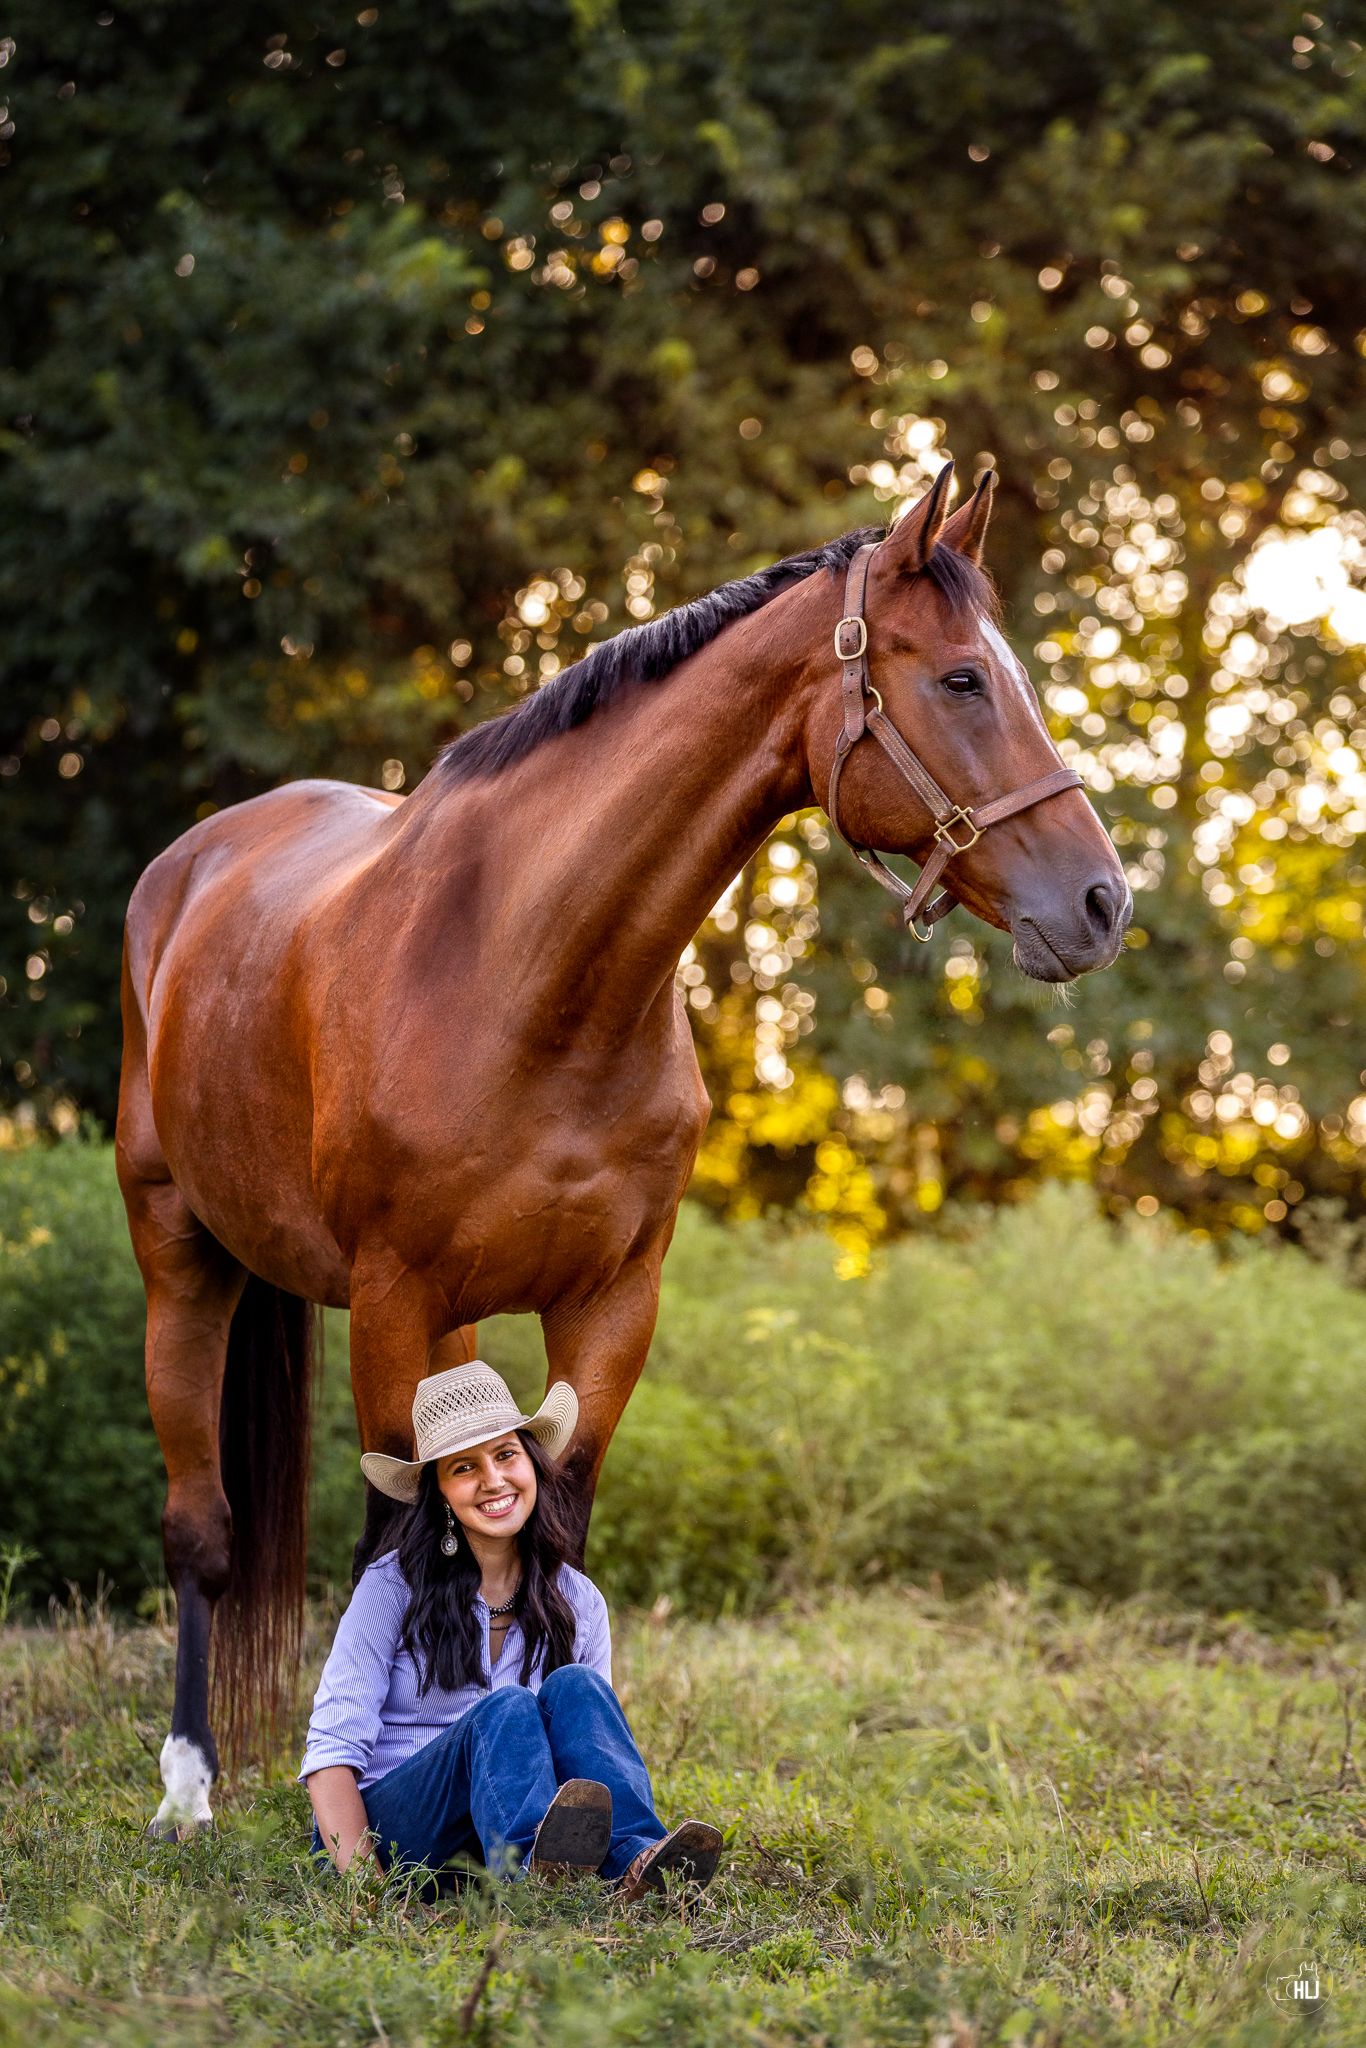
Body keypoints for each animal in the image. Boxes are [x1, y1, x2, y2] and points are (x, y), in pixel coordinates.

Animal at [115, 463, 1131, 1833]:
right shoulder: (387, 1295)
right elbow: (389, 1545)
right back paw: (189, 1784)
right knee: (202, 1529)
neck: (528, 969)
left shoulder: (610, 1301)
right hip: (182, 1254)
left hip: (446, 1319)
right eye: (964, 679)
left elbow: (556, 1528)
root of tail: (191, 863)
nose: (1100, 902)